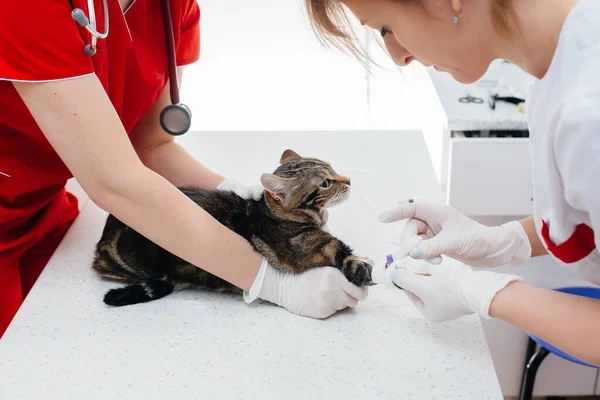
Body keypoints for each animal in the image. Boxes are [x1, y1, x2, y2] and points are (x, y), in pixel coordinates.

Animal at [91, 150, 372, 306]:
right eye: (325, 183)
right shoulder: (304, 247)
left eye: (333, 168)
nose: (349, 179)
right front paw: (359, 268)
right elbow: (337, 248)